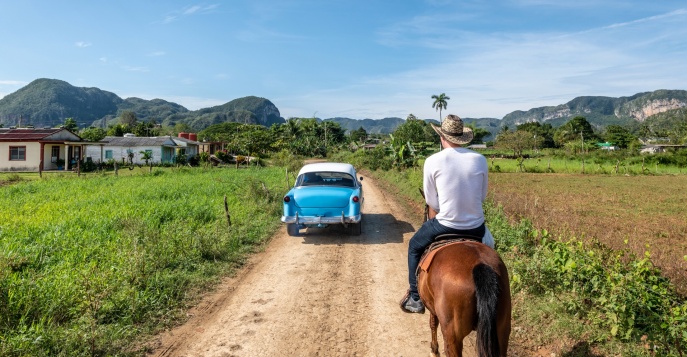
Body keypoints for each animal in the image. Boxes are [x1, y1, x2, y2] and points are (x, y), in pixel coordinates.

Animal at [414, 195, 510, 356]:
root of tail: (480, 265)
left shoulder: (432, 307)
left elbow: (432, 324)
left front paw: (434, 349)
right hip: (502, 330)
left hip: (453, 335)